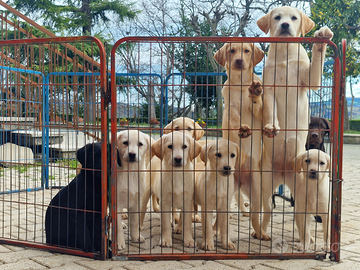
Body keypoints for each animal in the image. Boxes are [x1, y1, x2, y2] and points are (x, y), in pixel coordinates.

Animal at [258, 6, 334, 237]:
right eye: (277, 17)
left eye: (293, 18)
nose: (284, 25)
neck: (285, 55)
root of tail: (283, 173)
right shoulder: (269, 89)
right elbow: (271, 111)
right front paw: (271, 126)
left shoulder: (310, 80)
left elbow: (317, 60)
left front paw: (322, 36)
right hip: (265, 187)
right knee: (266, 211)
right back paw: (261, 233)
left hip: (300, 190)